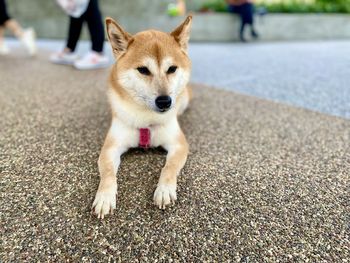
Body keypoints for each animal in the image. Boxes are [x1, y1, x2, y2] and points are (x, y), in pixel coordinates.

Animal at [91, 15, 193, 220]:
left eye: (172, 69)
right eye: (143, 70)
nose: (165, 101)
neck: (147, 119)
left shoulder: (178, 144)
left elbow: (169, 167)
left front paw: (164, 190)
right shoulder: (111, 147)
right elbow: (107, 173)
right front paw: (105, 197)